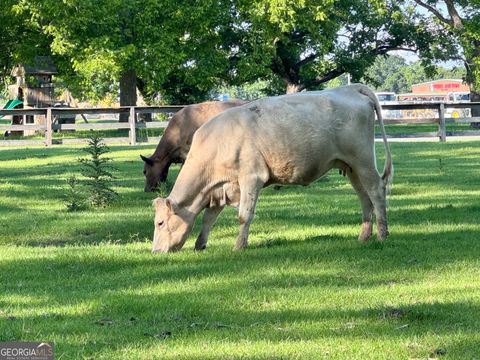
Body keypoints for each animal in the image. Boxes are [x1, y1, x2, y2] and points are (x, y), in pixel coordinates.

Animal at [152, 84, 392, 253]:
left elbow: (244, 215)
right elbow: (208, 218)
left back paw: (382, 235)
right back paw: (364, 236)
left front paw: (239, 246)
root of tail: (350, 88)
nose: (154, 252)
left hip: (362, 160)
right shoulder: (220, 188)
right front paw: (200, 244)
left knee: (376, 191)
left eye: (160, 222)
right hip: (351, 167)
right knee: (364, 197)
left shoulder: (251, 177)